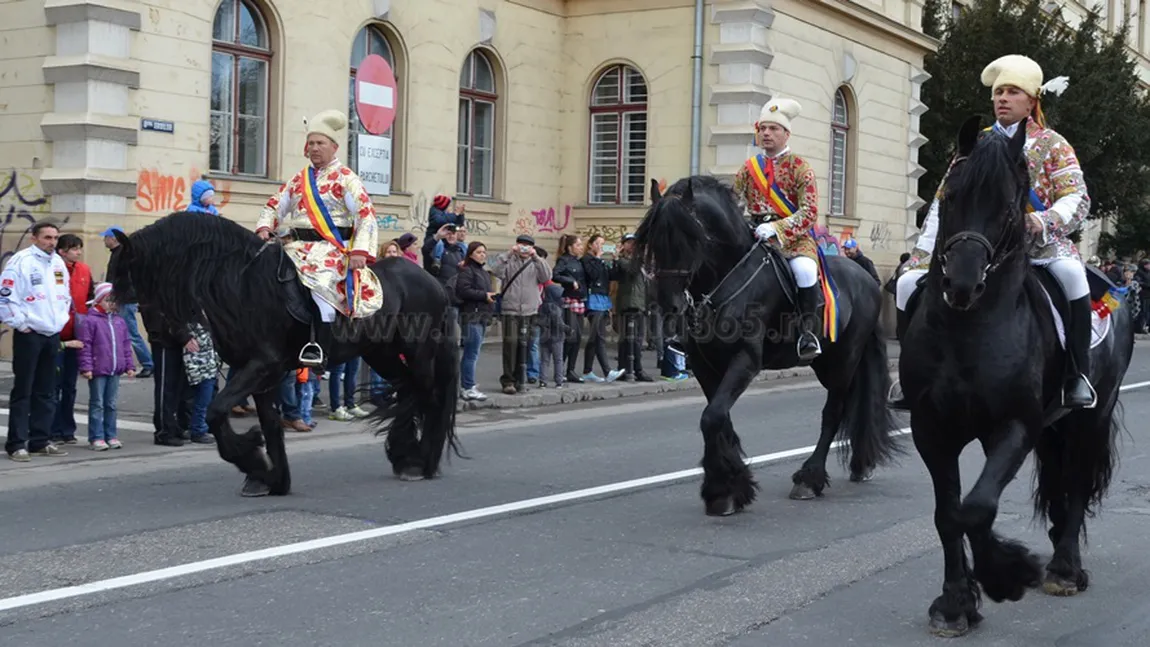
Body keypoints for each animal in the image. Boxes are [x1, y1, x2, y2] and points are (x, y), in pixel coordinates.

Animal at [104, 211, 462, 496]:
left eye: (124, 273)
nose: (158, 337)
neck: (240, 283)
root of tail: (434, 283)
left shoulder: (263, 365)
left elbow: (217, 411)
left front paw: (251, 455)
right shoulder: (258, 373)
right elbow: (270, 424)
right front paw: (269, 478)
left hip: (417, 353)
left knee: (428, 396)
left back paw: (421, 461)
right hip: (381, 354)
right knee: (409, 392)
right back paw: (406, 454)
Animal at [639, 173, 897, 517]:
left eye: (690, 238)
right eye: (653, 240)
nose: (668, 306)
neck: (727, 278)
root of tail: (867, 279)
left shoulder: (746, 360)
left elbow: (712, 417)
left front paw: (723, 488)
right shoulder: (705, 366)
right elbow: (718, 417)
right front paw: (729, 486)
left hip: (844, 360)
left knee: (834, 411)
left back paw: (810, 478)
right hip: (829, 362)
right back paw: (859, 464)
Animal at [897, 117, 1131, 638]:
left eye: (1008, 207)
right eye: (949, 197)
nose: (961, 286)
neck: (966, 331)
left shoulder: (1013, 427)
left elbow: (977, 508)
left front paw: (1006, 574)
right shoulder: (932, 430)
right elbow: (949, 514)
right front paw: (955, 603)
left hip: (1089, 417)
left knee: (1078, 482)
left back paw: (1064, 568)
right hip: (1051, 426)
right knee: (1061, 484)